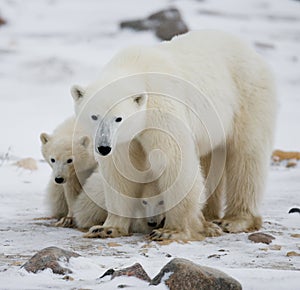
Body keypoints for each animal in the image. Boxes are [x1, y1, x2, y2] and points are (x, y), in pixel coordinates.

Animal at [71, 30, 276, 241]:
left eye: (118, 118)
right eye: (94, 116)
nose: (103, 147)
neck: (136, 67)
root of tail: (252, 52)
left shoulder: (160, 108)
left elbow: (175, 161)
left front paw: (170, 231)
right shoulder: (123, 140)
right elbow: (121, 172)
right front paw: (107, 228)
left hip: (248, 96)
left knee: (247, 156)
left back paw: (235, 220)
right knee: (210, 161)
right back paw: (208, 218)